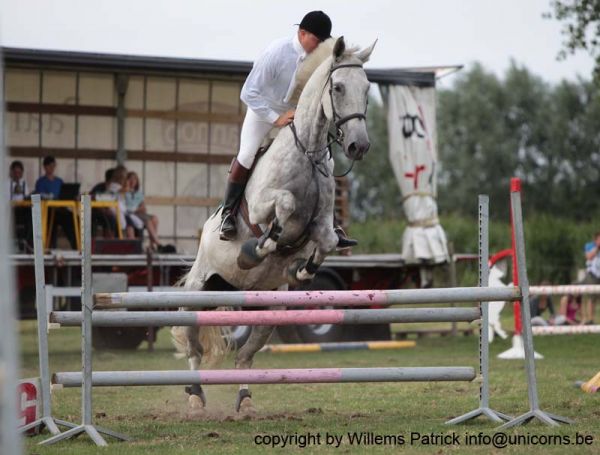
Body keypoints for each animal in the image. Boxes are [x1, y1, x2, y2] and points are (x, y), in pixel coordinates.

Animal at [171, 37, 376, 416]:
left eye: (367, 89)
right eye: (338, 88)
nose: (359, 146)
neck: (308, 151)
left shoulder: (322, 223)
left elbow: (326, 241)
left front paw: (302, 270)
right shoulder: (264, 204)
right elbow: (283, 208)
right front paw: (255, 250)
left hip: (268, 310)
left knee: (245, 356)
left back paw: (245, 400)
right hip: (198, 292)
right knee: (194, 346)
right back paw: (194, 396)